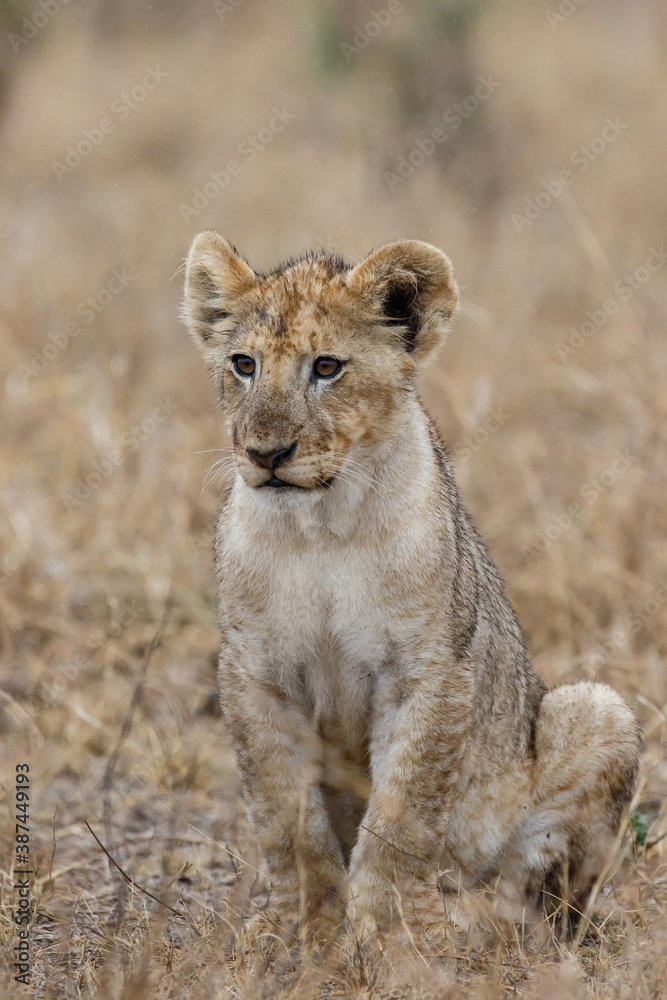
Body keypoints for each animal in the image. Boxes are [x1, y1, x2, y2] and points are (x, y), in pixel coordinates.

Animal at [182, 232, 641, 947]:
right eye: (243, 364)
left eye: (327, 366)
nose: (266, 453)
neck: (321, 527)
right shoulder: (253, 672)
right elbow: (287, 819)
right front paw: (300, 932)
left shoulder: (431, 669)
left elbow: (403, 815)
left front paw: (395, 934)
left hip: (597, 711)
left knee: (535, 899)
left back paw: (471, 921)